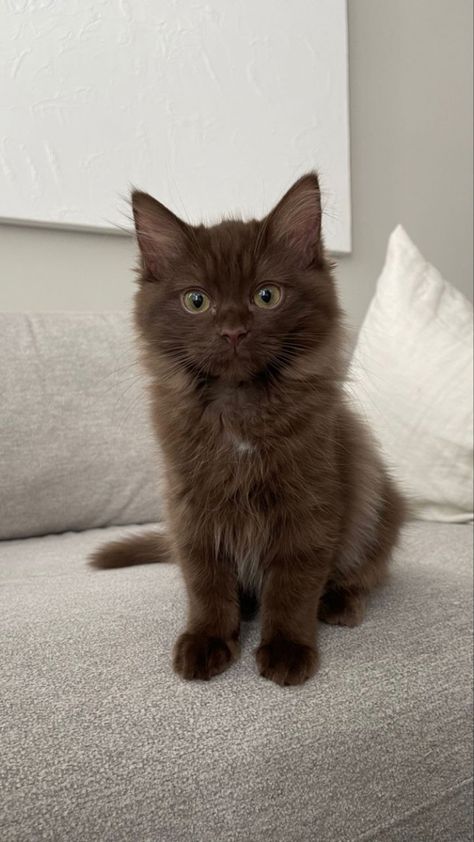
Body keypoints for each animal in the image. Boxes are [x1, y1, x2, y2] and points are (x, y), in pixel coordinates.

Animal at [90, 171, 406, 684]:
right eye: (196, 300)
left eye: (267, 295)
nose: (234, 330)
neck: (238, 408)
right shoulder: (191, 505)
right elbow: (205, 581)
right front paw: (208, 638)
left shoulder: (310, 503)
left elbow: (293, 584)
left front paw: (287, 649)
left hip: (381, 504)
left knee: (368, 571)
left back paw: (340, 601)